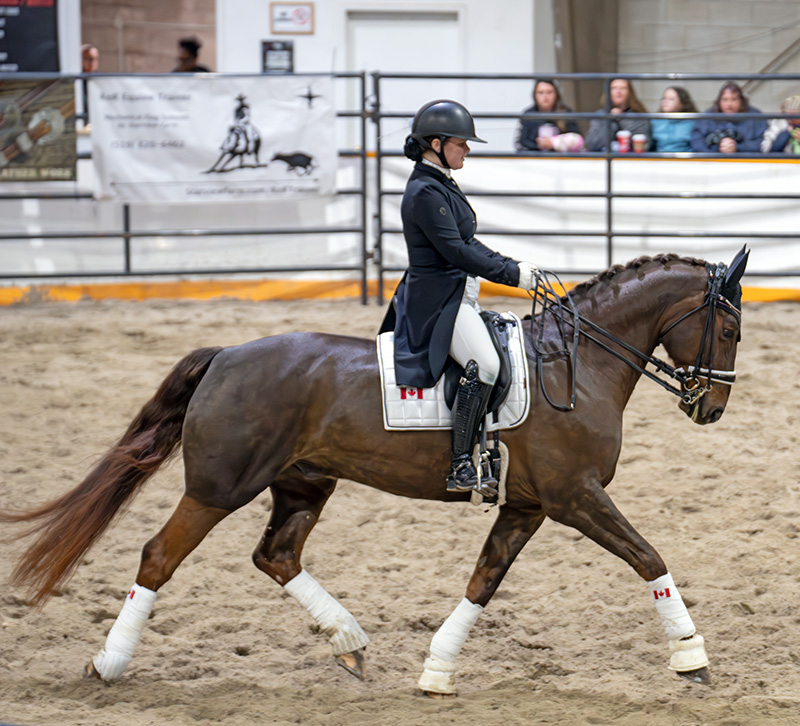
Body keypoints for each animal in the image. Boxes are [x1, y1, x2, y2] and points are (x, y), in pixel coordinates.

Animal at [0, 250, 748, 695]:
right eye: (730, 329)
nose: (710, 409)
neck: (578, 362)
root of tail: (227, 355)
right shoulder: (575, 497)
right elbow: (649, 557)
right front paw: (691, 655)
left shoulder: (528, 505)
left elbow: (482, 581)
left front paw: (438, 669)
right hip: (219, 488)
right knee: (159, 556)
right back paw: (108, 663)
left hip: (304, 483)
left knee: (276, 555)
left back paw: (351, 642)